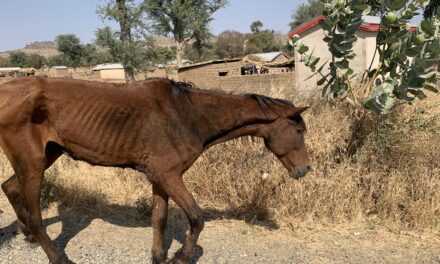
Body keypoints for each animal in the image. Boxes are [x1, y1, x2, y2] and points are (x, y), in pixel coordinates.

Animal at [0, 77, 310, 264]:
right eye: (298, 130)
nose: (305, 169)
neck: (187, 116)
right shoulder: (169, 176)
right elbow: (197, 218)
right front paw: (181, 257)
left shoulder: (160, 177)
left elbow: (159, 219)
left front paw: (159, 256)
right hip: (33, 164)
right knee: (36, 216)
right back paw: (56, 255)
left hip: (45, 156)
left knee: (11, 187)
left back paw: (27, 236)